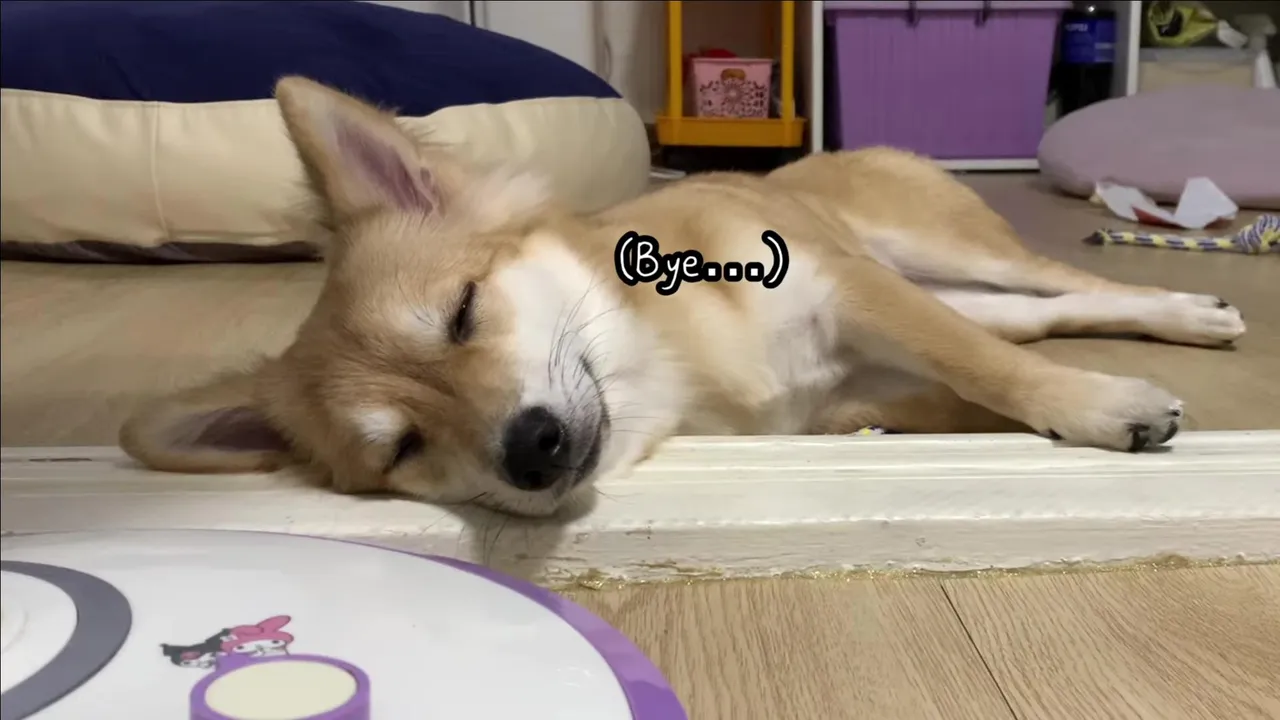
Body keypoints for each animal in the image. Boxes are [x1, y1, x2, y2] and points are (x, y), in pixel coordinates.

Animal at [120, 77, 1247, 517]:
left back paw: (1190, 313)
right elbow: (975, 380)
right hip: (956, 284)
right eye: (401, 449)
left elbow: (991, 371)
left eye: (464, 312)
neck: (673, 362)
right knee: (1045, 319)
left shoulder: (854, 290)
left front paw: (1095, 407)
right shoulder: (855, 395)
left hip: (935, 250)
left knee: (1069, 289)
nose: (530, 450)